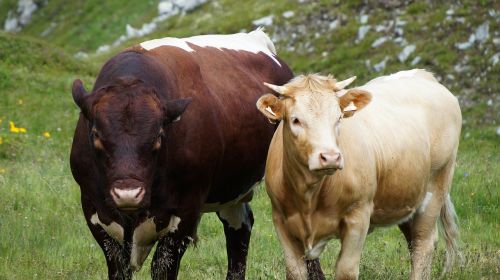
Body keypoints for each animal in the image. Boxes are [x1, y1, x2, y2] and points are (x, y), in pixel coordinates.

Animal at [68, 29, 292, 280]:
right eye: (96, 134)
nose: (128, 194)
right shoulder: (92, 206)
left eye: (158, 136)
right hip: (231, 188)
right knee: (239, 227)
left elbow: (163, 266)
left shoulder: (187, 210)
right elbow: (118, 267)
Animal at [258, 70, 460, 280]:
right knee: (413, 242)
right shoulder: (281, 221)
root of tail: (423, 75)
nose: (330, 157)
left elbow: (346, 270)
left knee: (423, 244)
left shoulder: (358, 216)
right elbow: (294, 271)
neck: (309, 196)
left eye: (339, 118)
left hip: (436, 188)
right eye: (296, 120)